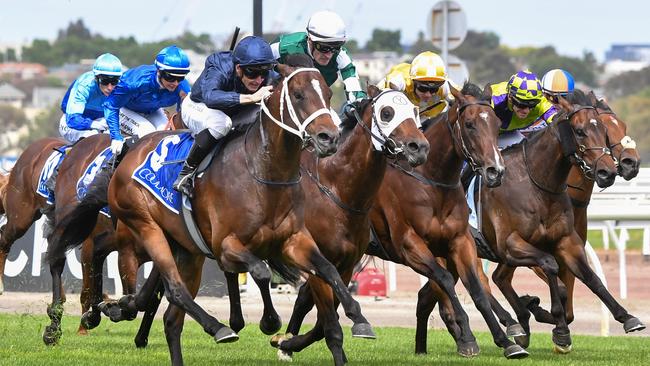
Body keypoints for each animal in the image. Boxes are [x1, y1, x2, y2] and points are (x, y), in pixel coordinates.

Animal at [48, 64, 374, 364]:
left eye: (329, 93)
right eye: (298, 94)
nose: (329, 137)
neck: (263, 172)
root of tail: (130, 150)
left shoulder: (294, 241)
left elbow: (329, 270)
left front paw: (359, 319)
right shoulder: (226, 246)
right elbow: (261, 271)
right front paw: (269, 321)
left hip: (186, 249)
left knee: (168, 316)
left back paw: (120, 307)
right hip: (145, 226)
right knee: (174, 289)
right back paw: (217, 328)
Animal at [256, 85, 428, 364]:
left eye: (414, 110)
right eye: (387, 112)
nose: (419, 147)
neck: (338, 192)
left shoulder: (346, 266)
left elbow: (323, 323)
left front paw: (286, 341)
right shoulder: (316, 264)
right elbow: (329, 323)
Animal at [364, 82, 532, 358]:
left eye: (497, 124)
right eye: (470, 124)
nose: (496, 171)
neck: (431, 183)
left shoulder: (460, 241)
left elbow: (476, 289)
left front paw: (506, 342)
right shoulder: (410, 244)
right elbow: (444, 281)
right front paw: (469, 337)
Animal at [418, 91, 640, 354]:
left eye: (606, 130)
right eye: (579, 131)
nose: (614, 169)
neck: (538, 186)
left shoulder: (567, 243)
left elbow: (591, 279)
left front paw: (627, 318)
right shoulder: (512, 246)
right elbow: (551, 271)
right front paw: (557, 328)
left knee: (435, 293)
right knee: (474, 283)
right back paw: (508, 325)